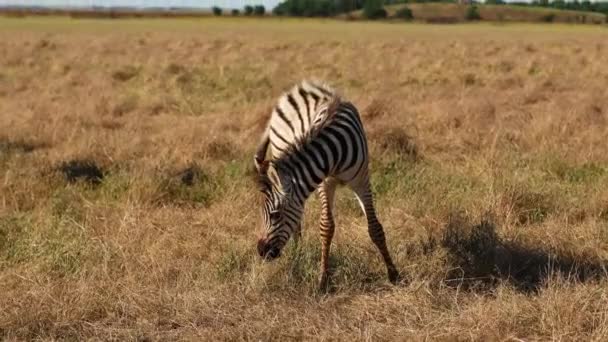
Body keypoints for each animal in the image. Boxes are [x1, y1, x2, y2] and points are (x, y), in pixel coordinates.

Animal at [252, 79, 400, 288]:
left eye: (275, 215)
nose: (261, 251)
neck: (335, 150)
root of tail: (301, 87)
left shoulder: (362, 180)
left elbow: (375, 228)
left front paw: (393, 273)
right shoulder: (323, 183)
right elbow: (326, 227)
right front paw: (323, 279)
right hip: (281, 150)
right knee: (297, 221)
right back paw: (297, 255)